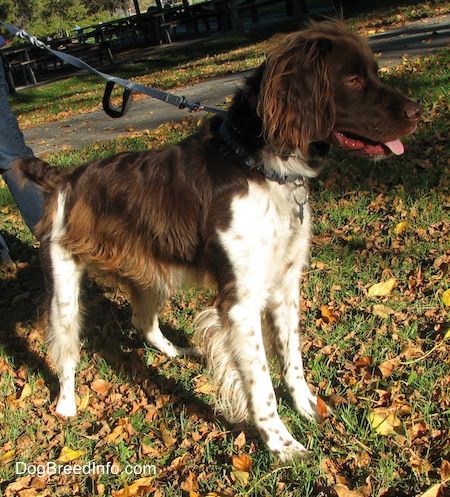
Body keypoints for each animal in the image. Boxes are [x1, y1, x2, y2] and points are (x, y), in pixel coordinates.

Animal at [14, 22, 422, 458]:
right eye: (353, 80)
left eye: (374, 72)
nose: (416, 111)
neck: (259, 167)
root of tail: (65, 176)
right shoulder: (240, 303)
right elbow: (262, 386)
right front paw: (281, 444)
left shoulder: (284, 288)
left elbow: (292, 362)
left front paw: (309, 409)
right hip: (64, 290)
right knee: (66, 348)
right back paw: (67, 403)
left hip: (150, 274)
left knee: (142, 321)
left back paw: (177, 351)